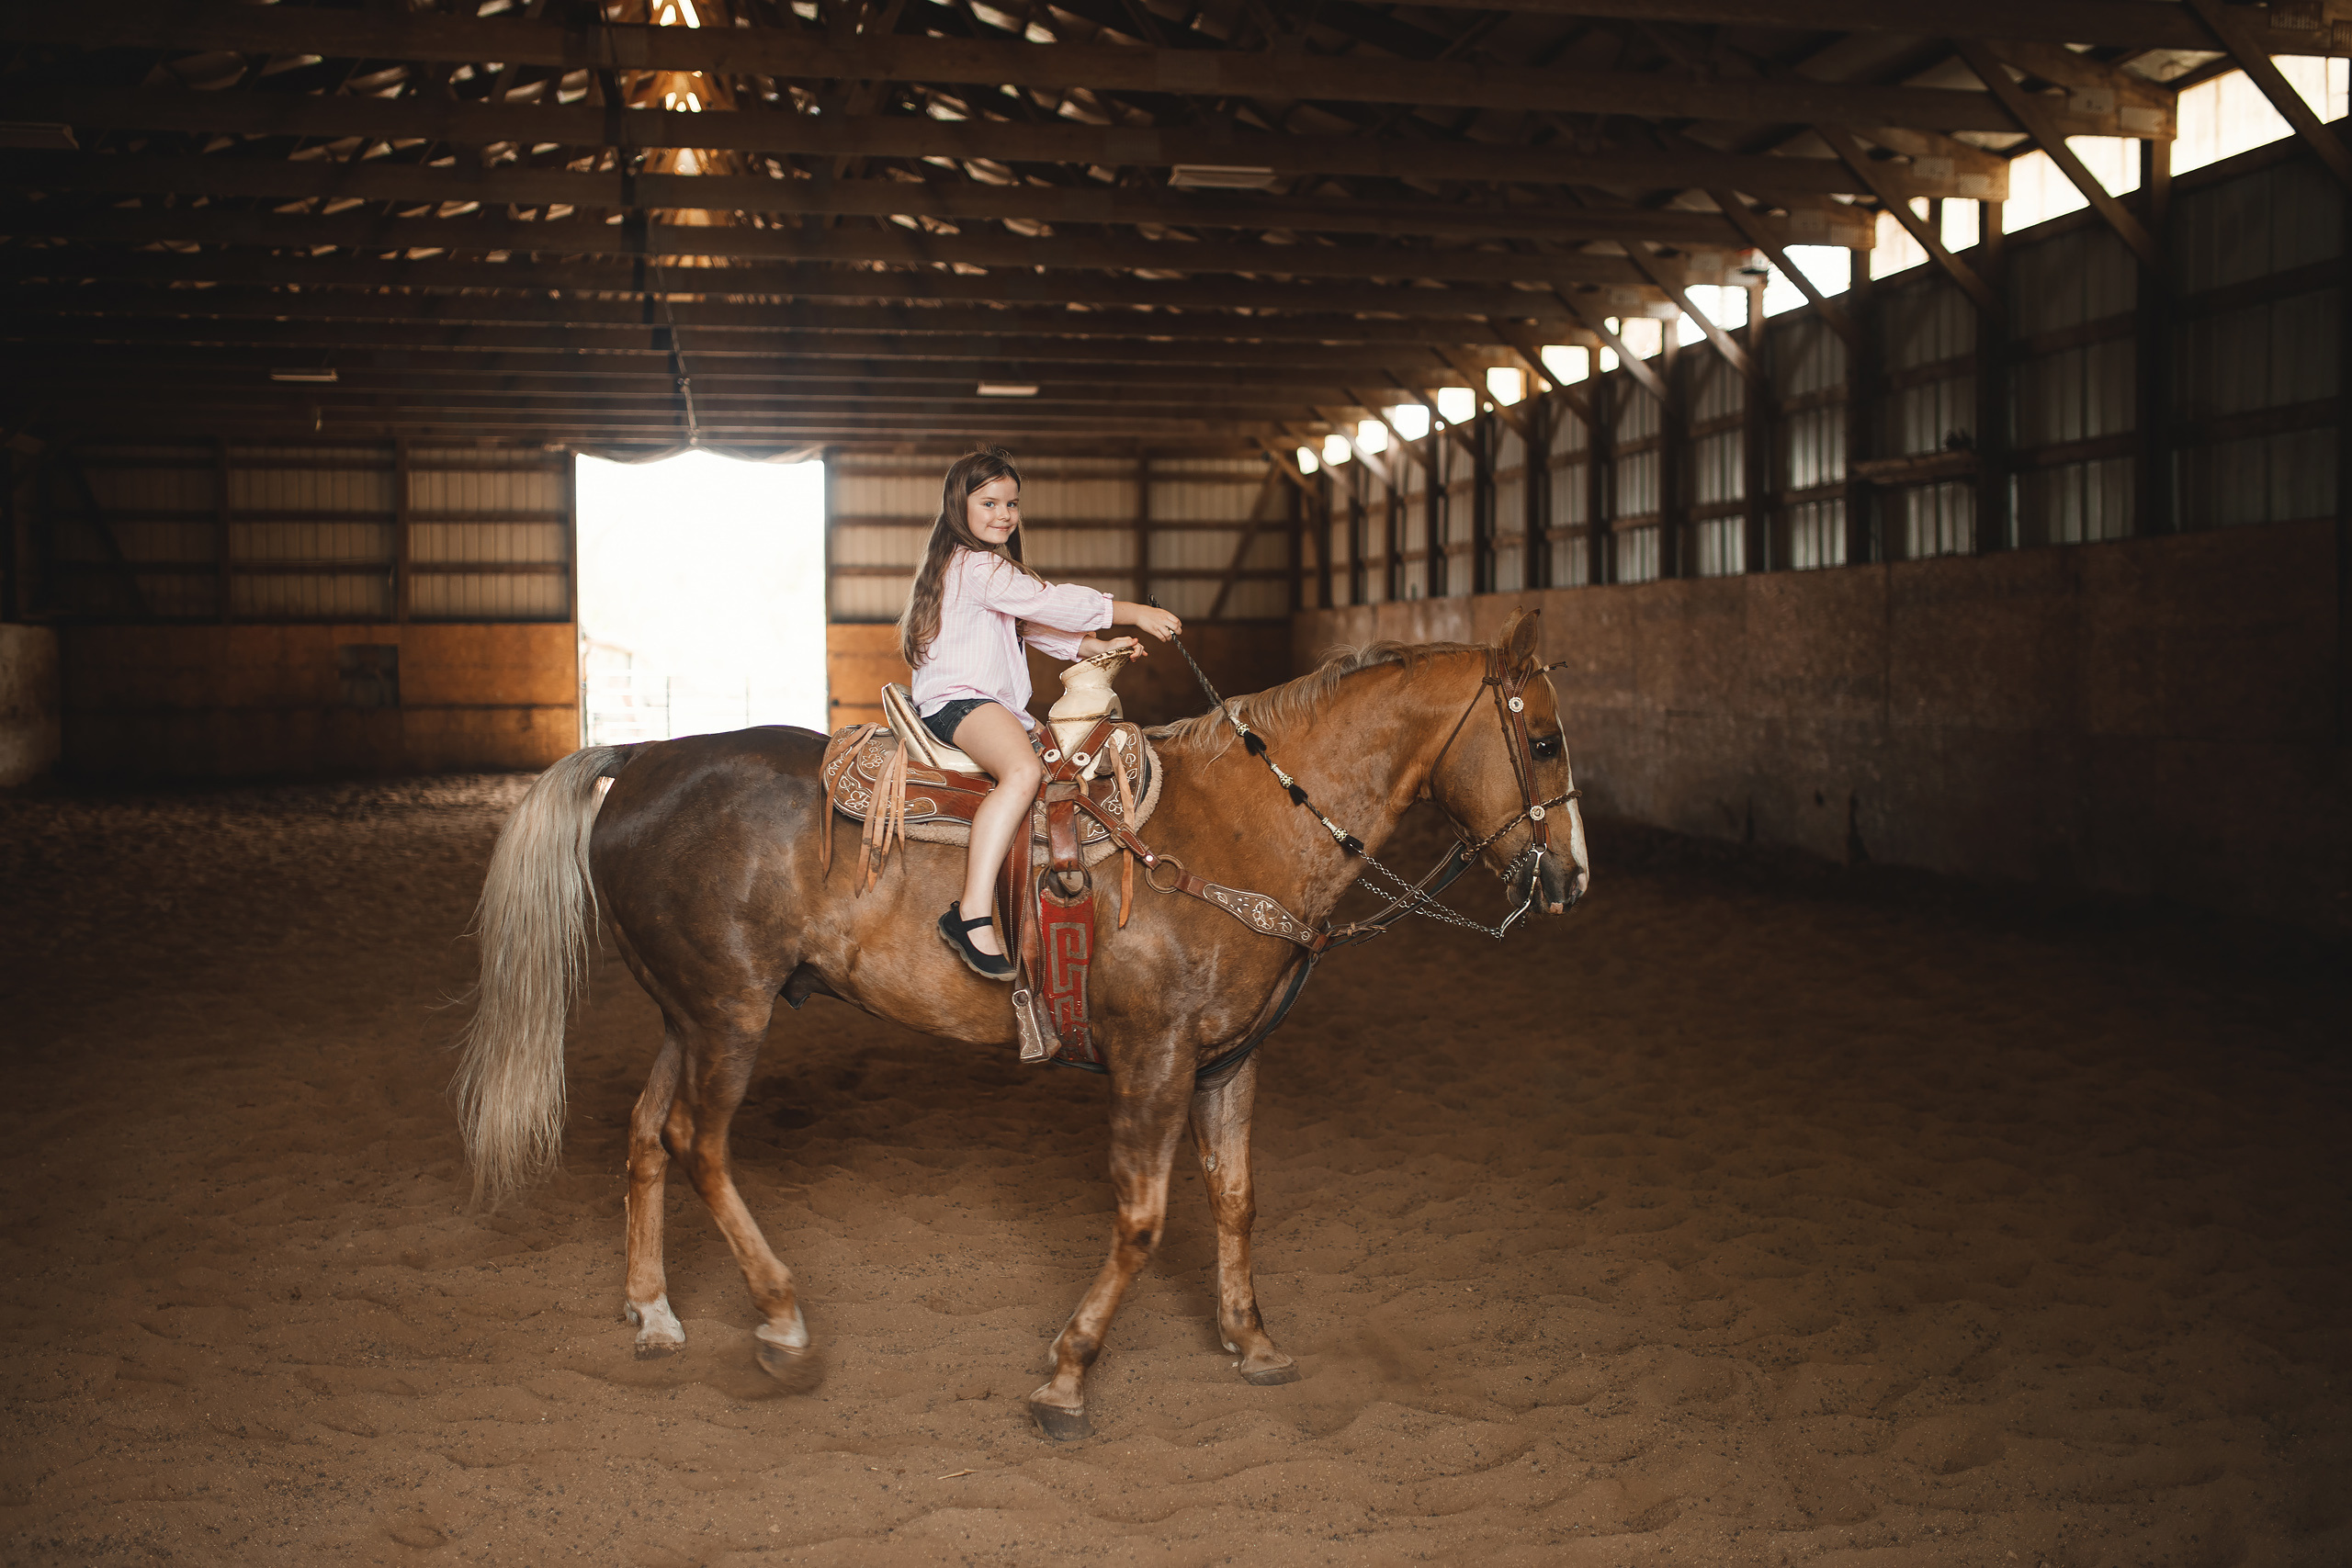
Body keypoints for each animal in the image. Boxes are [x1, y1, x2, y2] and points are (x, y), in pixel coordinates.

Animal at [452, 607, 1589, 1441]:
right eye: (1540, 739)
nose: (1571, 878)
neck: (1242, 827)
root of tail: (642, 759)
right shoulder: (1154, 1062)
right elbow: (1143, 1220)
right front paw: (1066, 1379)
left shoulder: (1229, 1062)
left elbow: (1235, 1203)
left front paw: (1253, 1343)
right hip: (729, 1015)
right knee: (698, 1143)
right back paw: (779, 1319)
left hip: (685, 1015)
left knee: (647, 1136)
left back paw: (653, 1312)